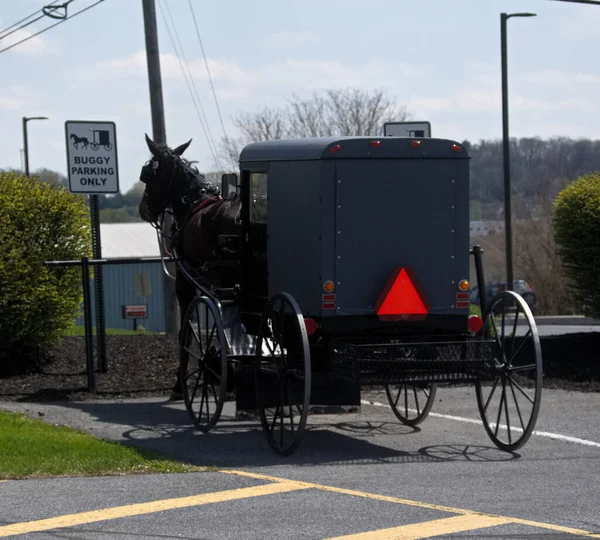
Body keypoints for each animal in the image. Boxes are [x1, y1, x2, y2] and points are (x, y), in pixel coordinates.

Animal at [138, 133, 241, 398]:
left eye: (147, 175)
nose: (143, 209)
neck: (193, 203)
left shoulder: (185, 283)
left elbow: (186, 334)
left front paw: (179, 384)